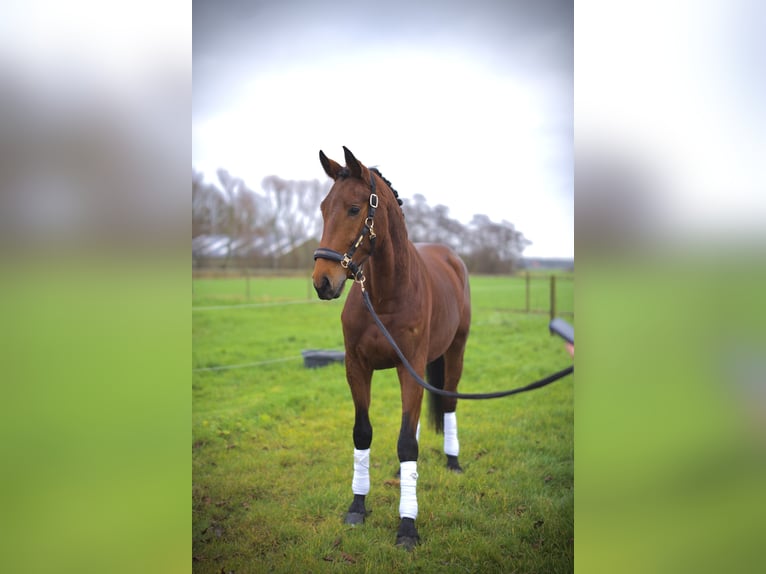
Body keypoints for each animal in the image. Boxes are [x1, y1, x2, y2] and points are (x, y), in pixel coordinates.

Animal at [314, 146, 472, 552]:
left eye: (354, 208)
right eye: (324, 207)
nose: (323, 281)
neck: (386, 295)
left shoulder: (408, 368)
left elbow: (406, 446)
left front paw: (407, 526)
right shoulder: (357, 367)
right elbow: (364, 433)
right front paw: (357, 506)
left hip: (455, 351)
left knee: (449, 401)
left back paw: (453, 462)